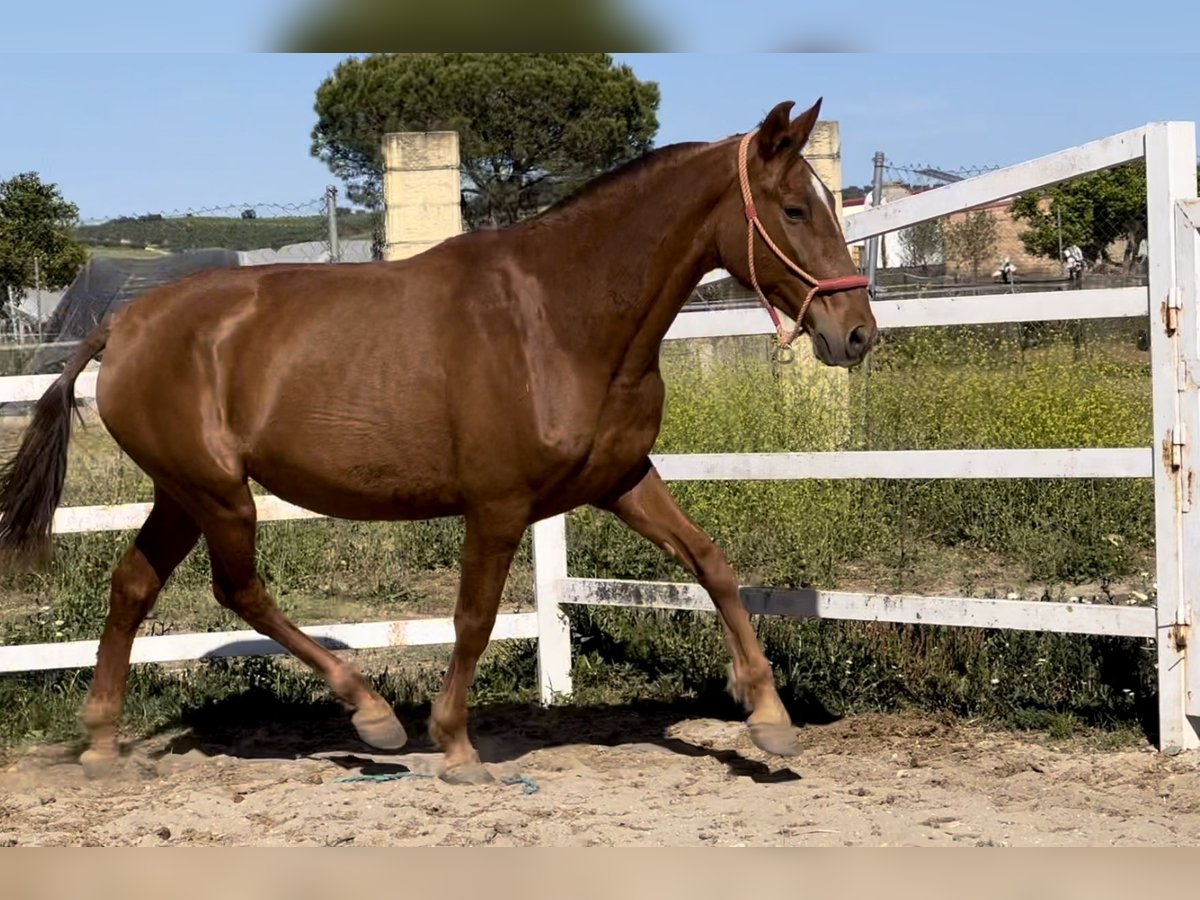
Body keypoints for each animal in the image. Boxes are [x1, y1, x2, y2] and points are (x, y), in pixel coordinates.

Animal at [0, 98, 878, 787]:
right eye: (794, 211)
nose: (857, 333)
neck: (559, 318)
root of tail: (124, 323)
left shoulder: (623, 479)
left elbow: (713, 564)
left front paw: (769, 717)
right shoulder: (497, 505)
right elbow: (474, 618)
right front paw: (454, 745)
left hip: (180, 495)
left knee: (132, 587)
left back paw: (103, 745)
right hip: (218, 494)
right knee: (237, 591)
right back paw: (373, 716)